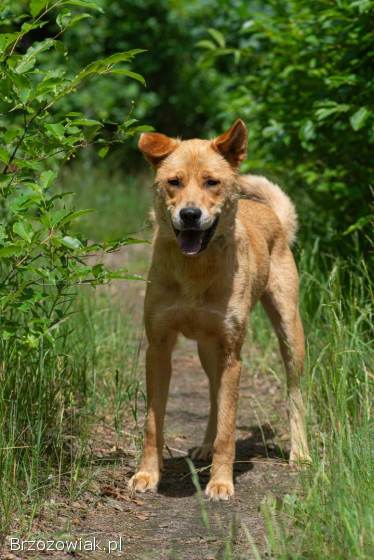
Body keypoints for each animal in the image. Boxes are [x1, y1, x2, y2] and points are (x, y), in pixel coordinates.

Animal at [129, 120, 310, 500]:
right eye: (174, 182)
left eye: (212, 182)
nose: (190, 215)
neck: (195, 270)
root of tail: (273, 215)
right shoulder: (159, 348)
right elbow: (154, 424)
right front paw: (147, 475)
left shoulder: (231, 353)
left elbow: (229, 429)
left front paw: (222, 482)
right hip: (206, 349)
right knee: (213, 395)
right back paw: (203, 446)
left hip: (289, 333)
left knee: (295, 393)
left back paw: (300, 453)